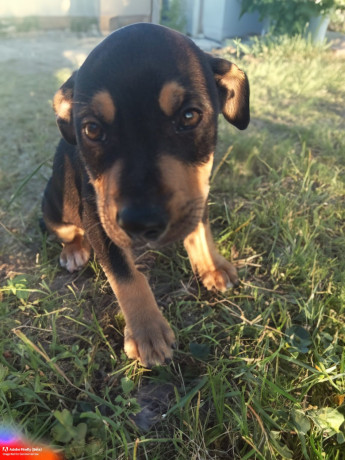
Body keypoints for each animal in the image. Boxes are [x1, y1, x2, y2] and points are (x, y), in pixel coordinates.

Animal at [41, 22, 249, 366]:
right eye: (92, 129)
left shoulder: (198, 192)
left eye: (190, 116)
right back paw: (74, 250)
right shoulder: (99, 219)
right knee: (68, 232)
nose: (142, 224)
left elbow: (200, 231)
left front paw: (212, 265)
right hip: (56, 211)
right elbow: (126, 276)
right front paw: (147, 332)